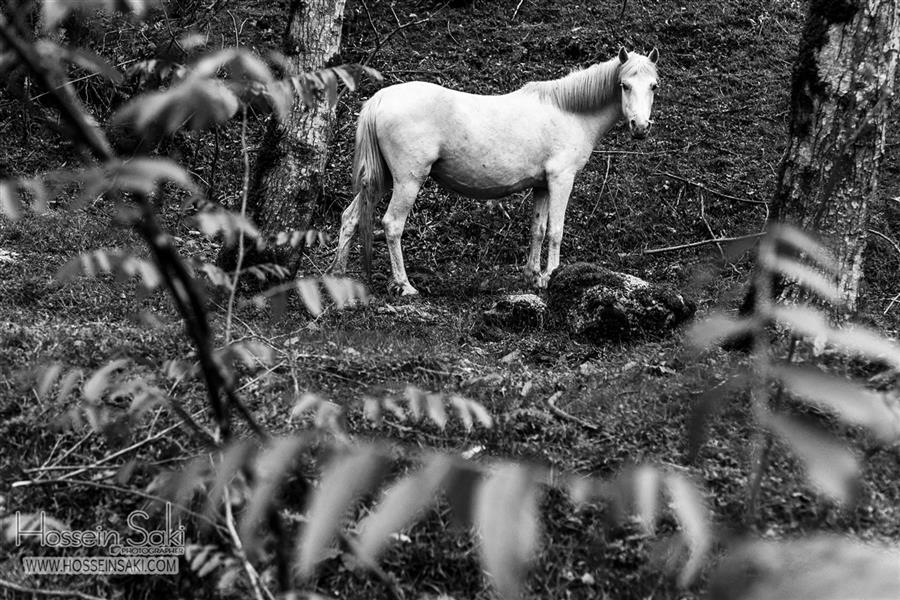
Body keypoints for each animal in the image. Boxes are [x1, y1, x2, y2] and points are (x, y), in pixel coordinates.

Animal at [326, 47, 656, 296]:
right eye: (624, 85)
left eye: (653, 86)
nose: (640, 127)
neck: (568, 111)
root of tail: (379, 98)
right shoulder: (561, 180)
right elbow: (556, 231)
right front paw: (552, 275)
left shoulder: (542, 185)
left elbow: (537, 229)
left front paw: (533, 277)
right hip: (408, 180)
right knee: (392, 225)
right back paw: (405, 286)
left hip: (381, 180)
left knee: (350, 217)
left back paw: (340, 275)